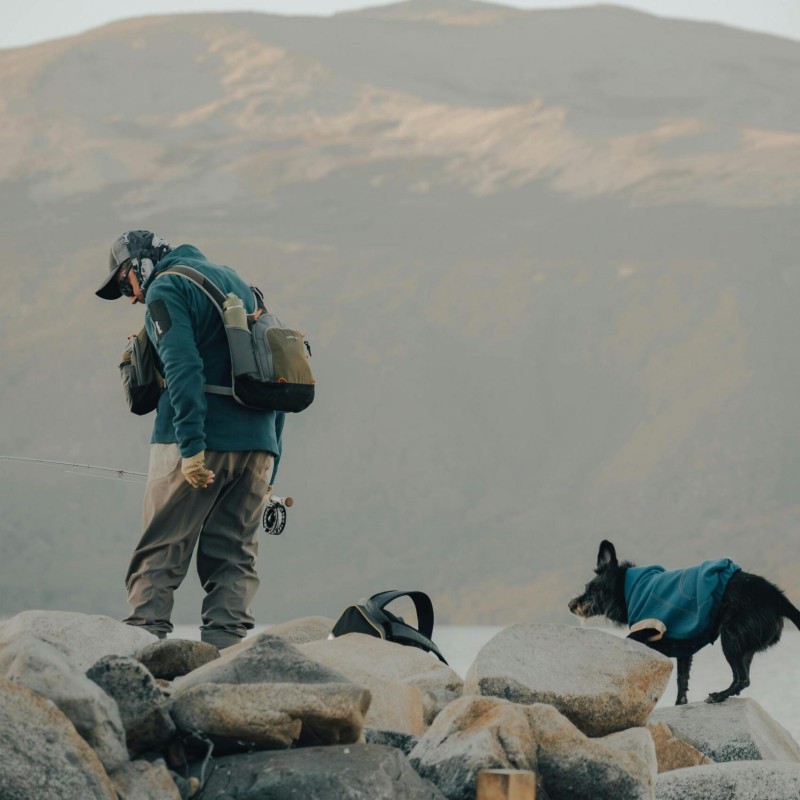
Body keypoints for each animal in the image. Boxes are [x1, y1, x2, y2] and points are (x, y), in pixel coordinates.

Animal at [568, 540, 800, 704]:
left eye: (591, 589)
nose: (570, 604)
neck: (628, 589)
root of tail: (776, 596)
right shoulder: (684, 648)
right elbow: (682, 681)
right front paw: (681, 704)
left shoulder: (642, 632)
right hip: (743, 645)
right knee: (743, 678)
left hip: (730, 637)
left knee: (742, 678)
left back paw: (718, 696)